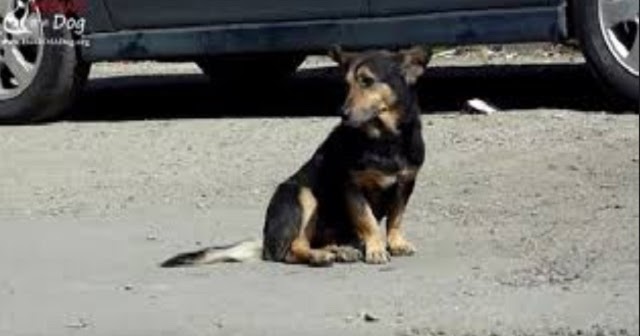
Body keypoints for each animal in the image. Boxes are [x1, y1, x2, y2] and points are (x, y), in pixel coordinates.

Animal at [162, 47, 428, 268]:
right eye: (347, 85)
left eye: (367, 81)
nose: (342, 113)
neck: (385, 139)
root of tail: (266, 242)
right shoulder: (351, 186)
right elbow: (367, 220)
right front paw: (375, 248)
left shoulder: (406, 183)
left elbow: (396, 217)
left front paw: (395, 243)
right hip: (302, 194)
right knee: (291, 249)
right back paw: (320, 256)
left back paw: (340, 251)